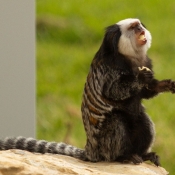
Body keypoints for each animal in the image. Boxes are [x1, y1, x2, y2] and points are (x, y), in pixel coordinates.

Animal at [0, 18, 175, 166]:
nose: (140, 28)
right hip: (102, 144)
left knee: (143, 121)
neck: (131, 58)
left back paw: (143, 154)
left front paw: (165, 85)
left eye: (139, 25)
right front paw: (140, 77)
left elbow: (146, 92)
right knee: (116, 121)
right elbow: (113, 91)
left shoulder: (146, 62)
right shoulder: (111, 69)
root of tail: (90, 150)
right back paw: (124, 156)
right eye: (133, 27)